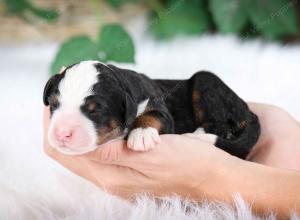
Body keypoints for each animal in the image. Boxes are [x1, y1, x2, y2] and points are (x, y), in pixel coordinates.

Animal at [42, 60, 260, 158]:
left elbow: (154, 115)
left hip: (206, 80)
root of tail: (249, 111)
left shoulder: (158, 106)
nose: (62, 133)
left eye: (95, 110)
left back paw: (196, 136)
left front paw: (142, 133)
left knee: (218, 124)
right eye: (53, 104)